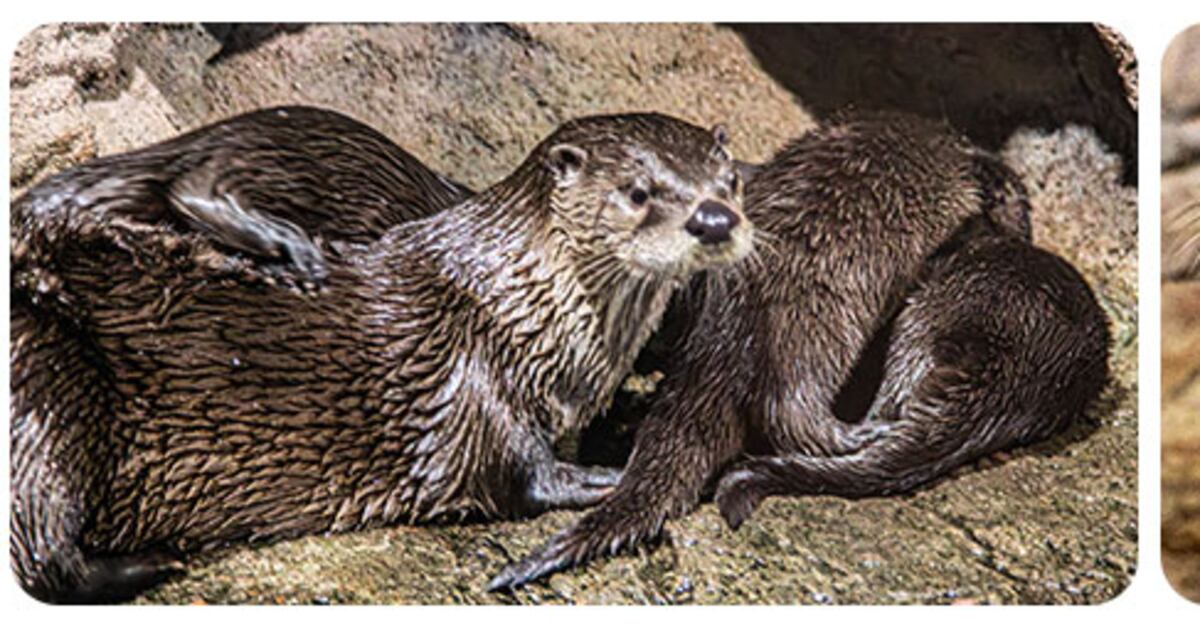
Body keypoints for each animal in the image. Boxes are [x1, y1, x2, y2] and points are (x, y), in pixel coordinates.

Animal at [11, 112, 753, 603]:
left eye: (731, 181)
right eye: (638, 192)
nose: (715, 218)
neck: (519, 307)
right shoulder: (473, 382)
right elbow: (516, 471)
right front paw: (610, 475)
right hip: (46, 383)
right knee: (42, 549)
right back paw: (156, 561)